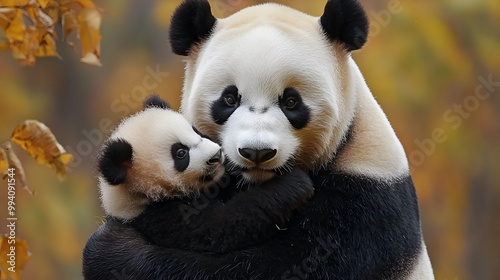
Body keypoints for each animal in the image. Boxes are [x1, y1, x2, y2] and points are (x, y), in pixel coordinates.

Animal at [82, 0, 434, 278]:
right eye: (229, 99)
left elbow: (276, 266)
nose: (256, 152)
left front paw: (114, 249)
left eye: (291, 101)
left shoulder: (365, 204)